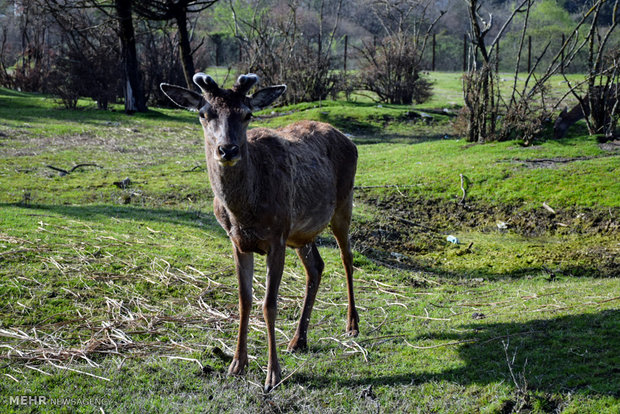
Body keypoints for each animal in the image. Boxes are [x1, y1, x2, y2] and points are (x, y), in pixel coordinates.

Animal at [161, 73, 358, 392]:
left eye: (247, 114)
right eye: (204, 114)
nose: (227, 149)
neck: (244, 212)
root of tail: (348, 140)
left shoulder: (276, 237)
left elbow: (269, 305)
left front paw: (272, 375)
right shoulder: (238, 242)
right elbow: (244, 301)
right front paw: (236, 365)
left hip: (343, 203)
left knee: (347, 259)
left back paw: (352, 325)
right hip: (301, 234)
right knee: (316, 267)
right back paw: (298, 339)